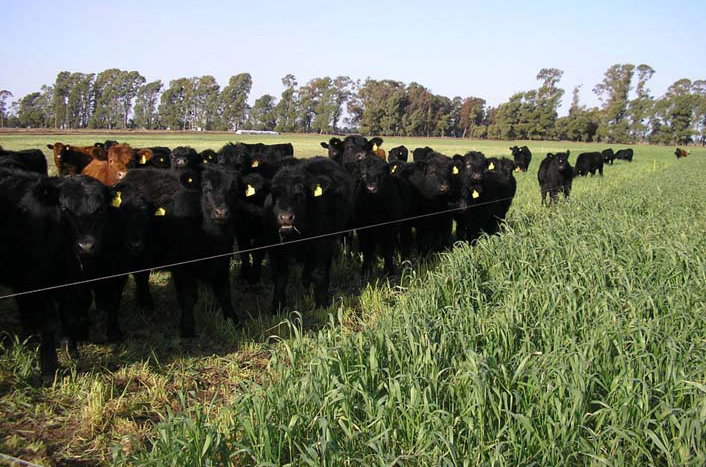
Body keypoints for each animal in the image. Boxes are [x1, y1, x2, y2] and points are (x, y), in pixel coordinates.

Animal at [262, 155, 354, 312]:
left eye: (300, 195)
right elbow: (280, 277)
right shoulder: (275, 248)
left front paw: (322, 305)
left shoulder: (321, 244)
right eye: (275, 194)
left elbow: (318, 273)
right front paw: (278, 306)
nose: (285, 217)